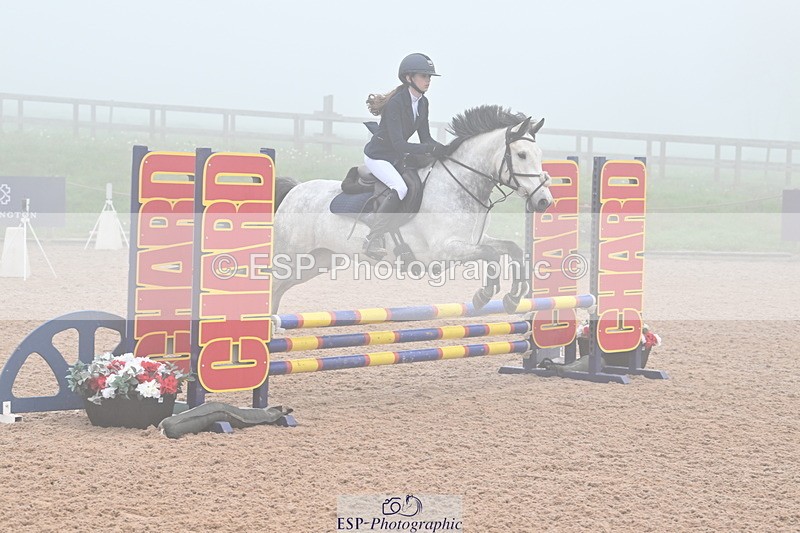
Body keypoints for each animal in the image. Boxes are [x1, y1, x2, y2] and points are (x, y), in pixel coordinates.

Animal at [271, 105, 554, 313]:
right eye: (522, 155)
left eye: (540, 154)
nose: (544, 201)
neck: (457, 186)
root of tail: (295, 189)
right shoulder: (444, 251)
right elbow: (491, 255)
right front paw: (483, 295)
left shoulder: (471, 241)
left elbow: (512, 250)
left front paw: (513, 298)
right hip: (292, 257)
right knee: (273, 286)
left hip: (318, 260)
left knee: (279, 290)